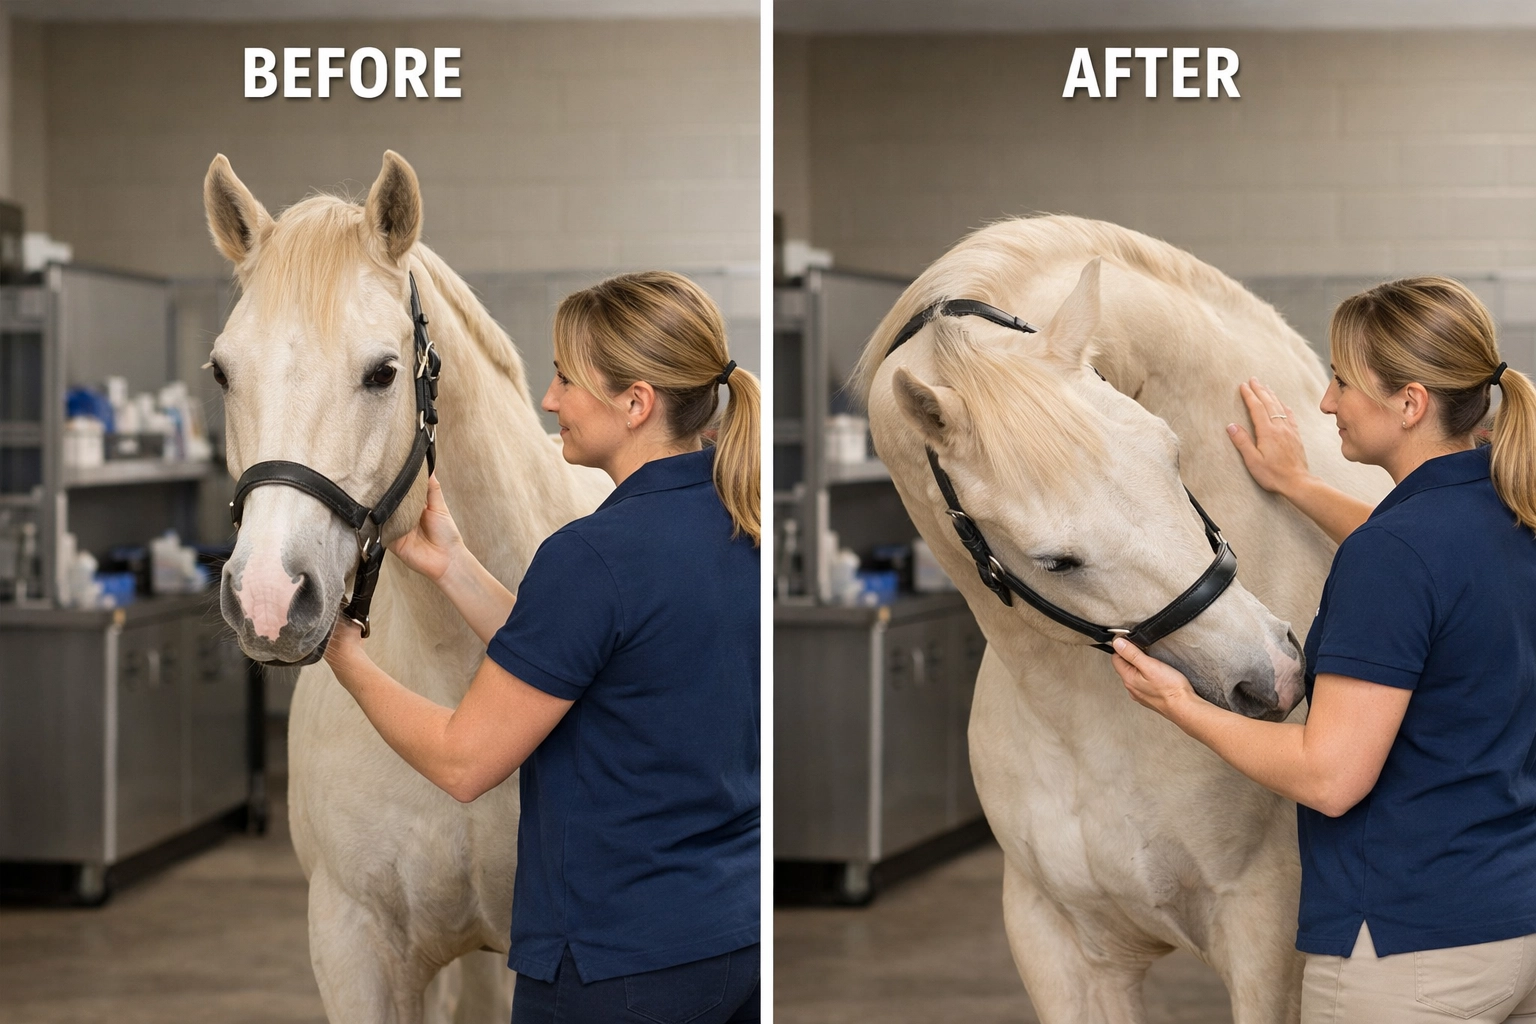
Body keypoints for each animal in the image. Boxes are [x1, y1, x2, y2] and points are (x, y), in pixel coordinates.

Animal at [853, 215, 1392, 1024]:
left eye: (1169, 452)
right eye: (1055, 561)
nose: (1273, 676)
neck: (1083, 722)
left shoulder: (1265, 934)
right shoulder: (1061, 945)